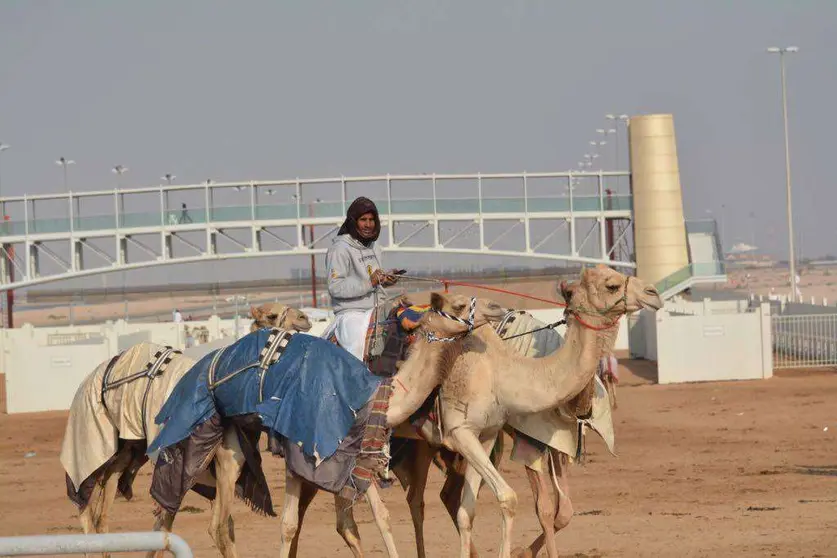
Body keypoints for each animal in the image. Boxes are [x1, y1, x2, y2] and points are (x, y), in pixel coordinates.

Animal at [58, 304, 310, 556]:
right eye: (272, 315)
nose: (304, 318)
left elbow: (175, 525)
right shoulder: (224, 463)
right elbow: (217, 527)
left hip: (127, 449)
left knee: (102, 512)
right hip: (92, 437)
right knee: (83, 500)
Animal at [145, 294, 502, 558]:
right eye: (457, 305)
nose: (497, 307)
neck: (373, 393)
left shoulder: (344, 457)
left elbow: (356, 522)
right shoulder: (302, 450)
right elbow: (295, 524)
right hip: (223, 447)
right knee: (213, 523)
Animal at [434, 264, 656, 556]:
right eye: (612, 285)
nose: (652, 292)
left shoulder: (560, 443)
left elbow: (565, 512)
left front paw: (524, 551)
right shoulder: (528, 439)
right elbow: (545, 510)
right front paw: (524, 551)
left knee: (450, 494)